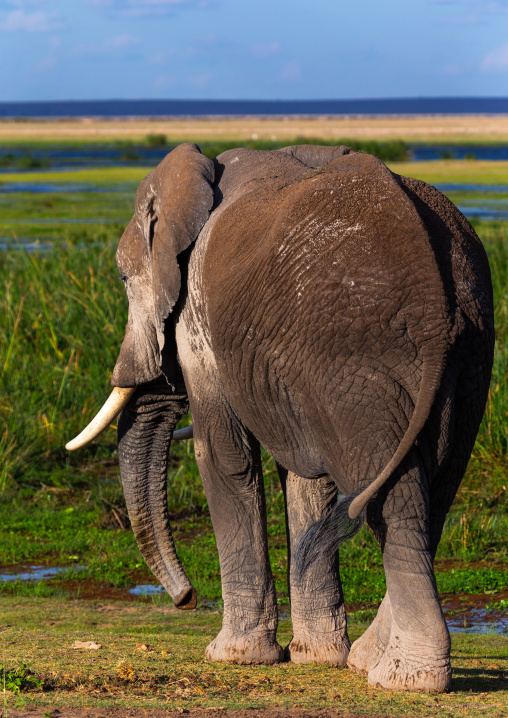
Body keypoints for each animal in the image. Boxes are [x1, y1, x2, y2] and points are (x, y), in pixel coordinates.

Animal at [67, 142, 494, 692]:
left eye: (123, 279)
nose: (186, 598)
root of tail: (432, 291)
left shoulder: (201, 321)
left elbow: (224, 457)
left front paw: (233, 656)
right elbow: (306, 480)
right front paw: (317, 659)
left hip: (358, 359)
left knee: (394, 498)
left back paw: (405, 679)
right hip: (467, 355)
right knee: (436, 490)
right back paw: (365, 661)